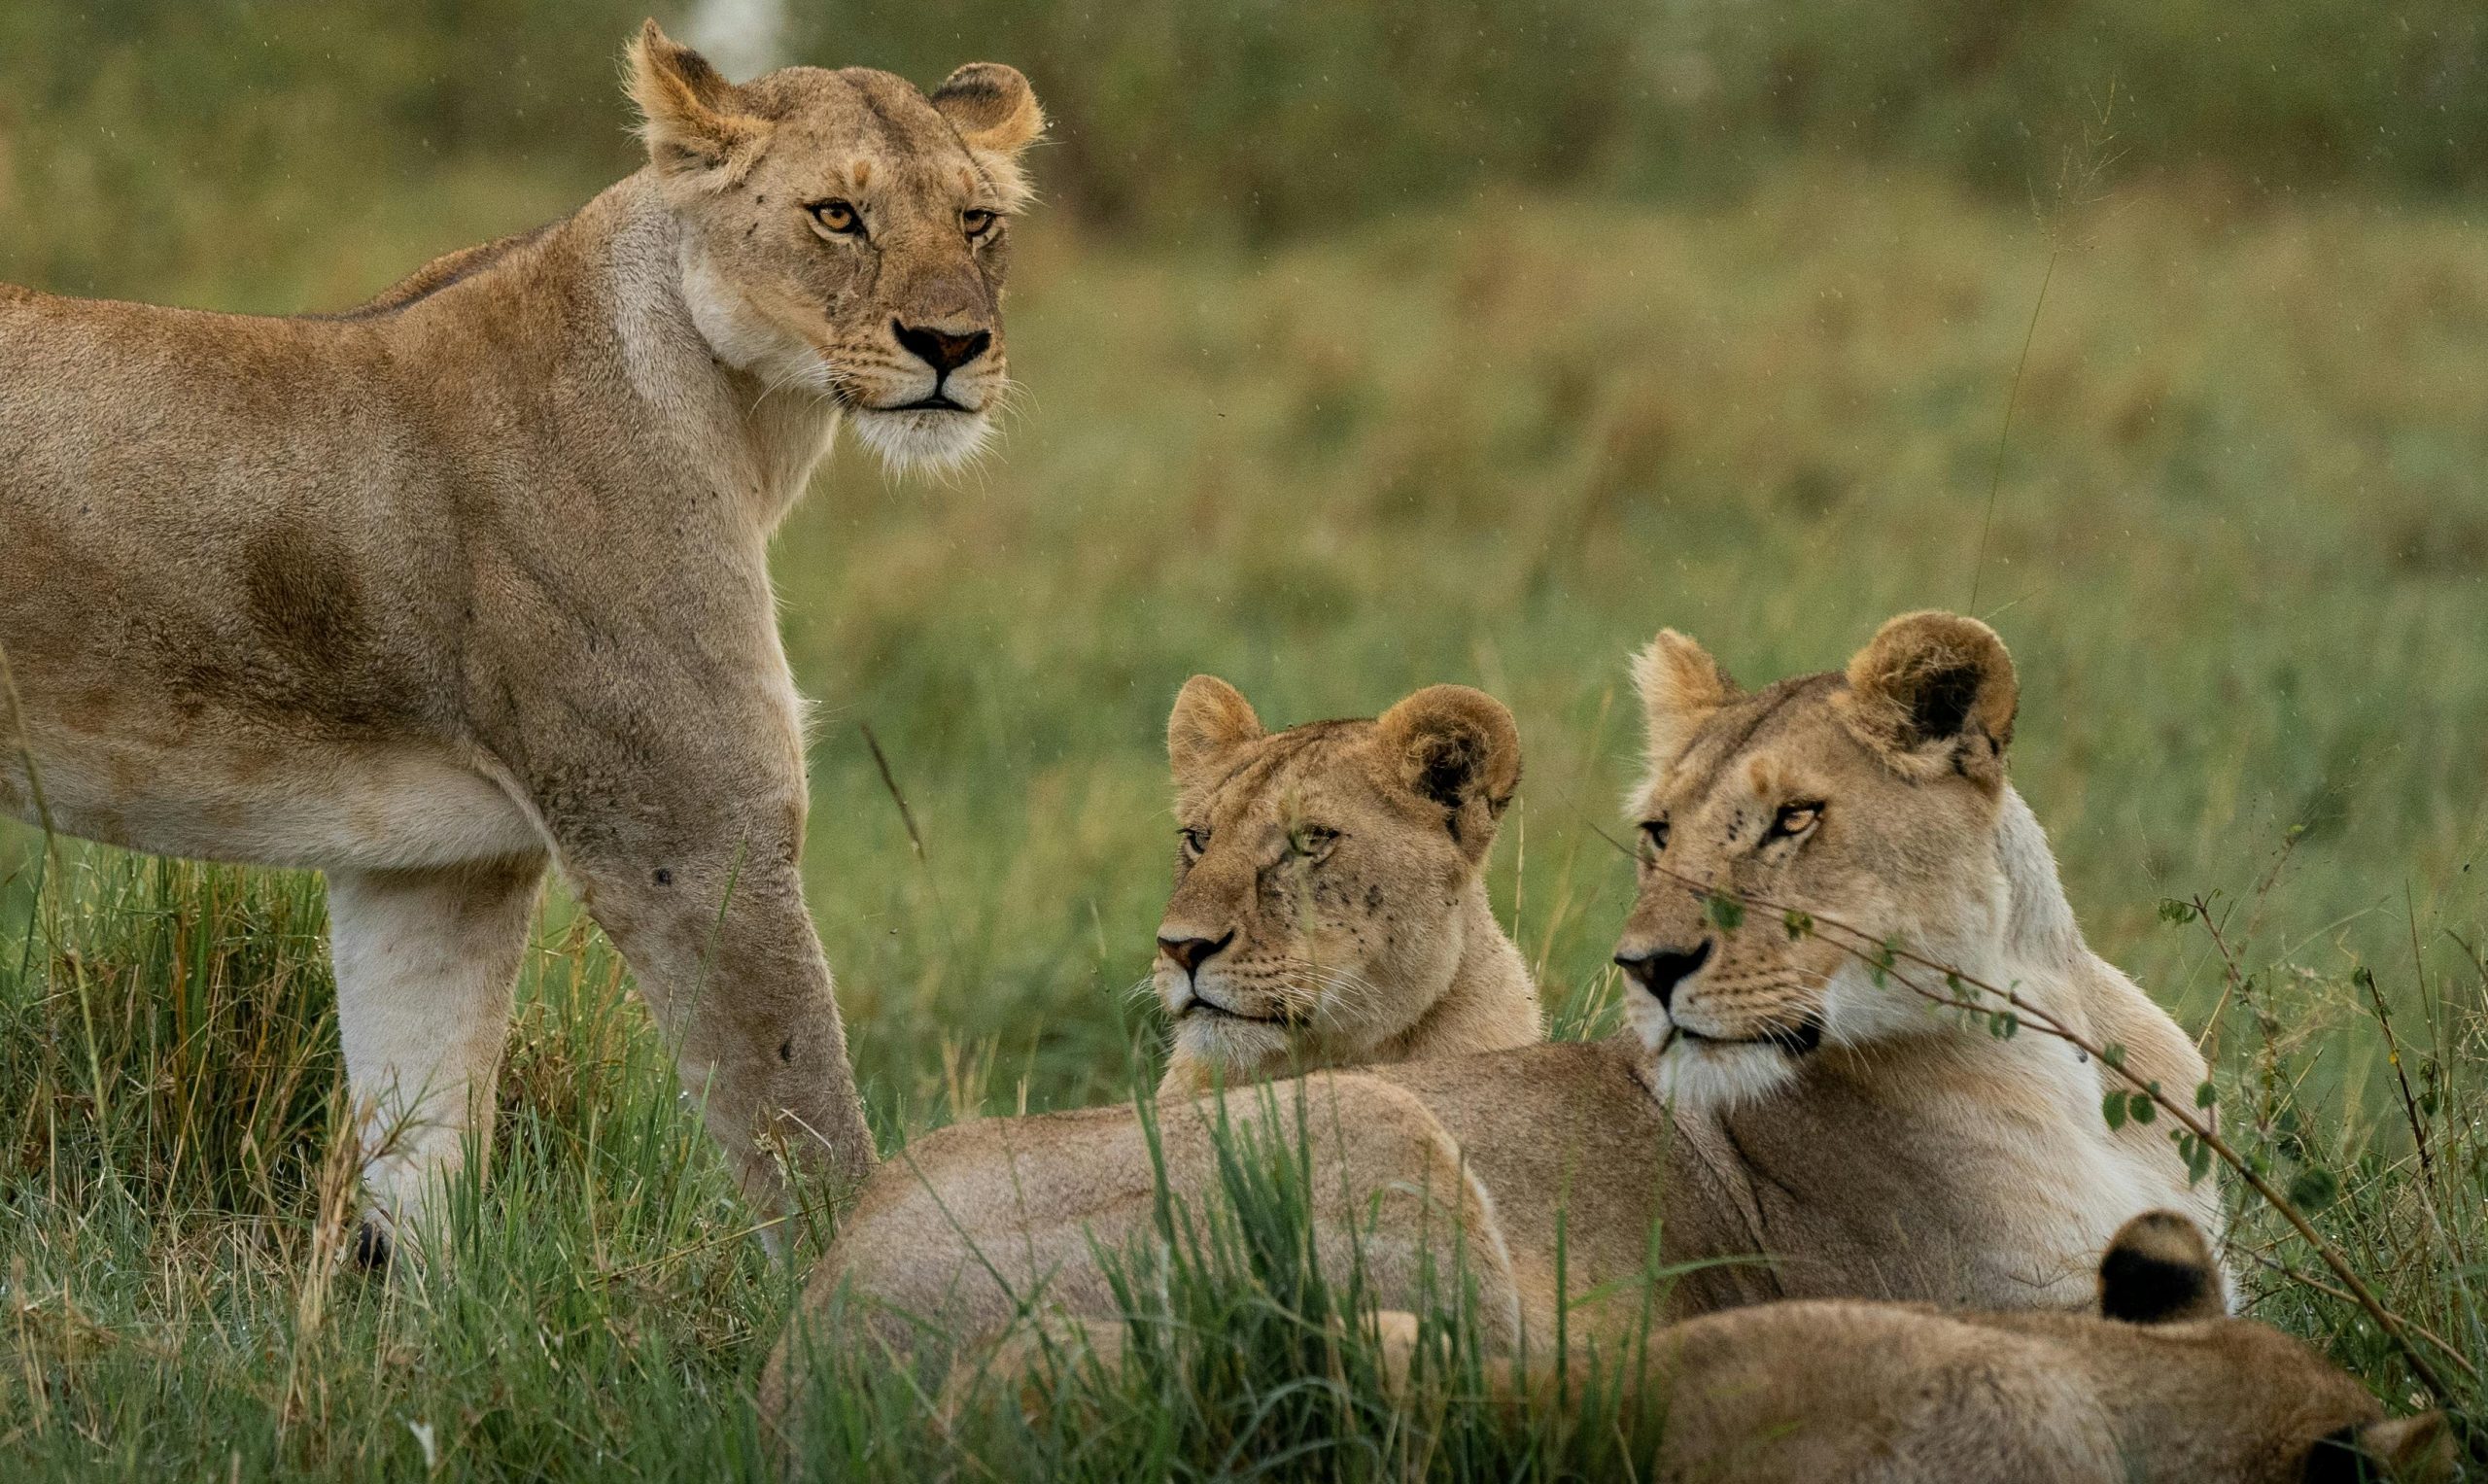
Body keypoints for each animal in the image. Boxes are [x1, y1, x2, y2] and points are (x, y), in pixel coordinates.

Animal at [0, 21, 1045, 1256]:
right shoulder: (688, 839)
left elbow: (422, 1146)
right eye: (837, 214)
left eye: (976, 221)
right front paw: (867, 1297)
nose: (952, 343)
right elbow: (808, 1136)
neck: (746, 426)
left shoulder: (434, 871)